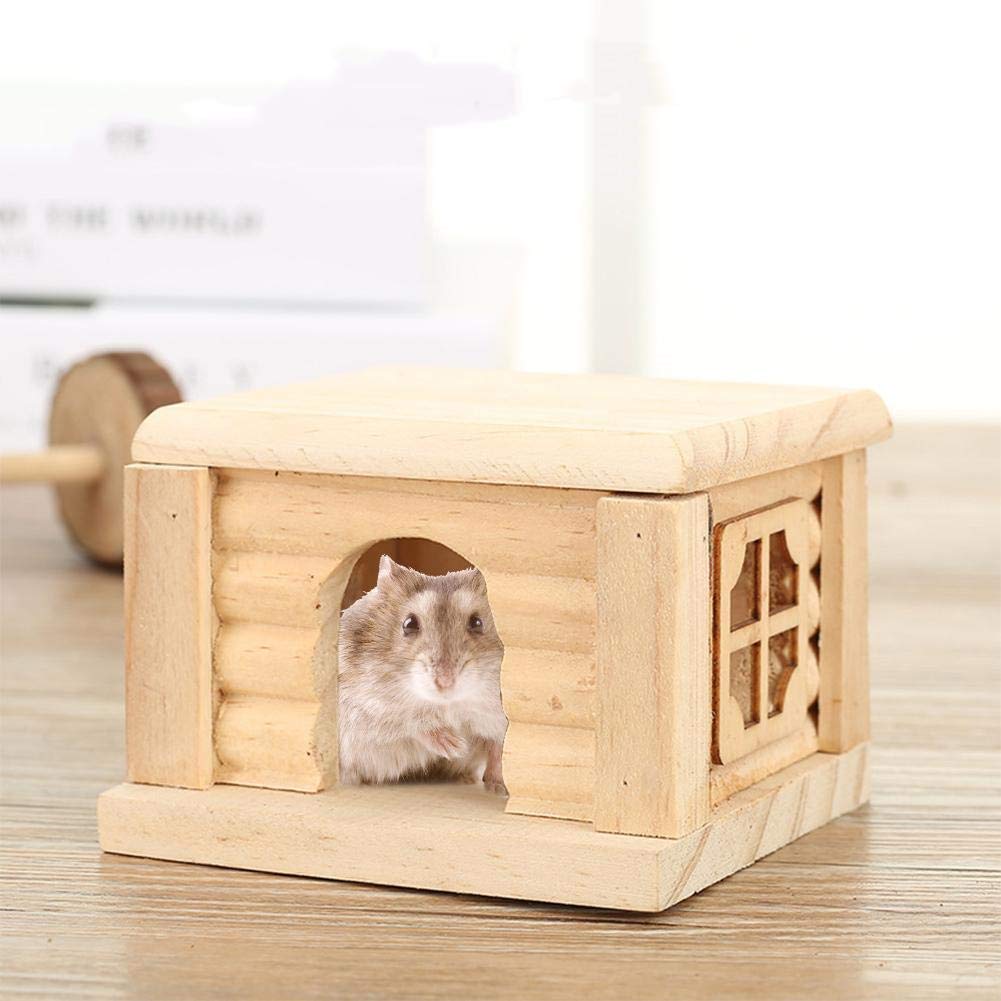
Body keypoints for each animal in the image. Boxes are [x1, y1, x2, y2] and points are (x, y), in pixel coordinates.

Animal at [336, 554, 508, 794]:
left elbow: (496, 749)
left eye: (477, 622)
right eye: (409, 623)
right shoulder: (364, 708)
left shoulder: (498, 720)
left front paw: (498, 788)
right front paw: (454, 745)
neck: (449, 704)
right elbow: (412, 724)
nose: (445, 682)